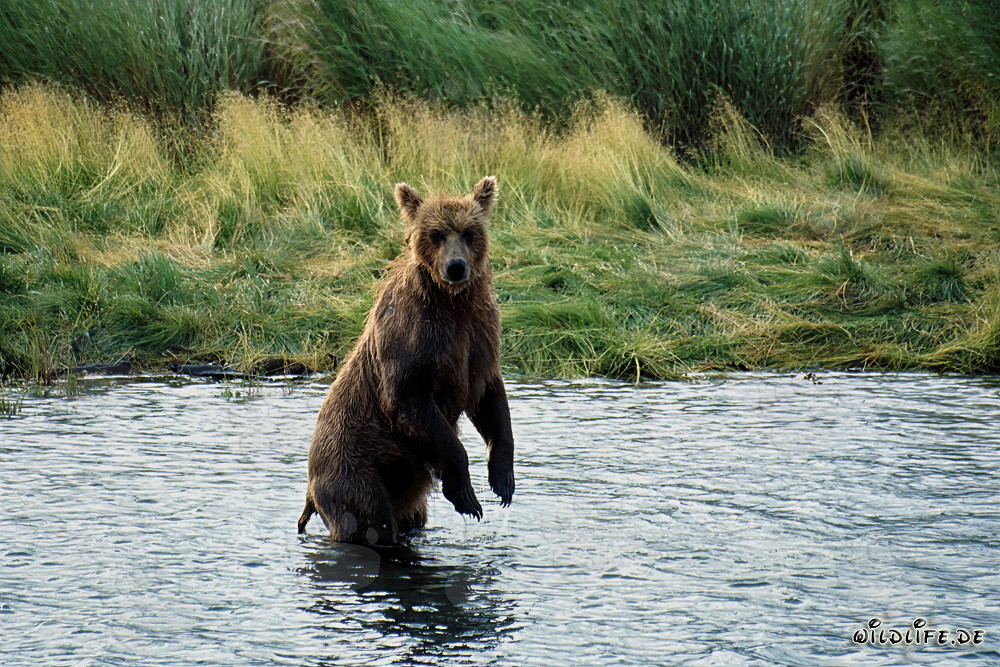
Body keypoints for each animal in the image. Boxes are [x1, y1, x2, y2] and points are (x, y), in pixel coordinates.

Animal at [297, 176, 515, 544]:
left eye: (469, 232)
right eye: (436, 234)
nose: (456, 267)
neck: (451, 302)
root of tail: (310, 489)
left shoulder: (479, 334)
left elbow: (489, 397)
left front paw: (502, 479)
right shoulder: (414, 336)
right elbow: (409, 399)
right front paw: (467, 496)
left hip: (403, 483)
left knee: (412, 516)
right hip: (357, 467)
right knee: (369, 520)